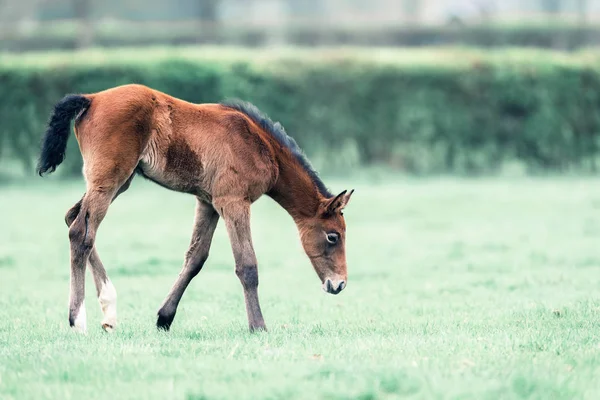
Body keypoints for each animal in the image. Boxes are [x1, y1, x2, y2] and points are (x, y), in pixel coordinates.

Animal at [37, 85, 352, 334]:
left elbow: (196, 258)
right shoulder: (233, 201)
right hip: (109, 179)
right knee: (81, 232)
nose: (339, 284)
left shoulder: (208, 202)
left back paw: (109, 311)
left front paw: (164, 318)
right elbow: (247, 265)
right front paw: (258, 326)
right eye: (333, 236)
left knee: (73, 219)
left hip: (120, 182)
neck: (260, 144)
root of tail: (92, 98)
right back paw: (78, 320)